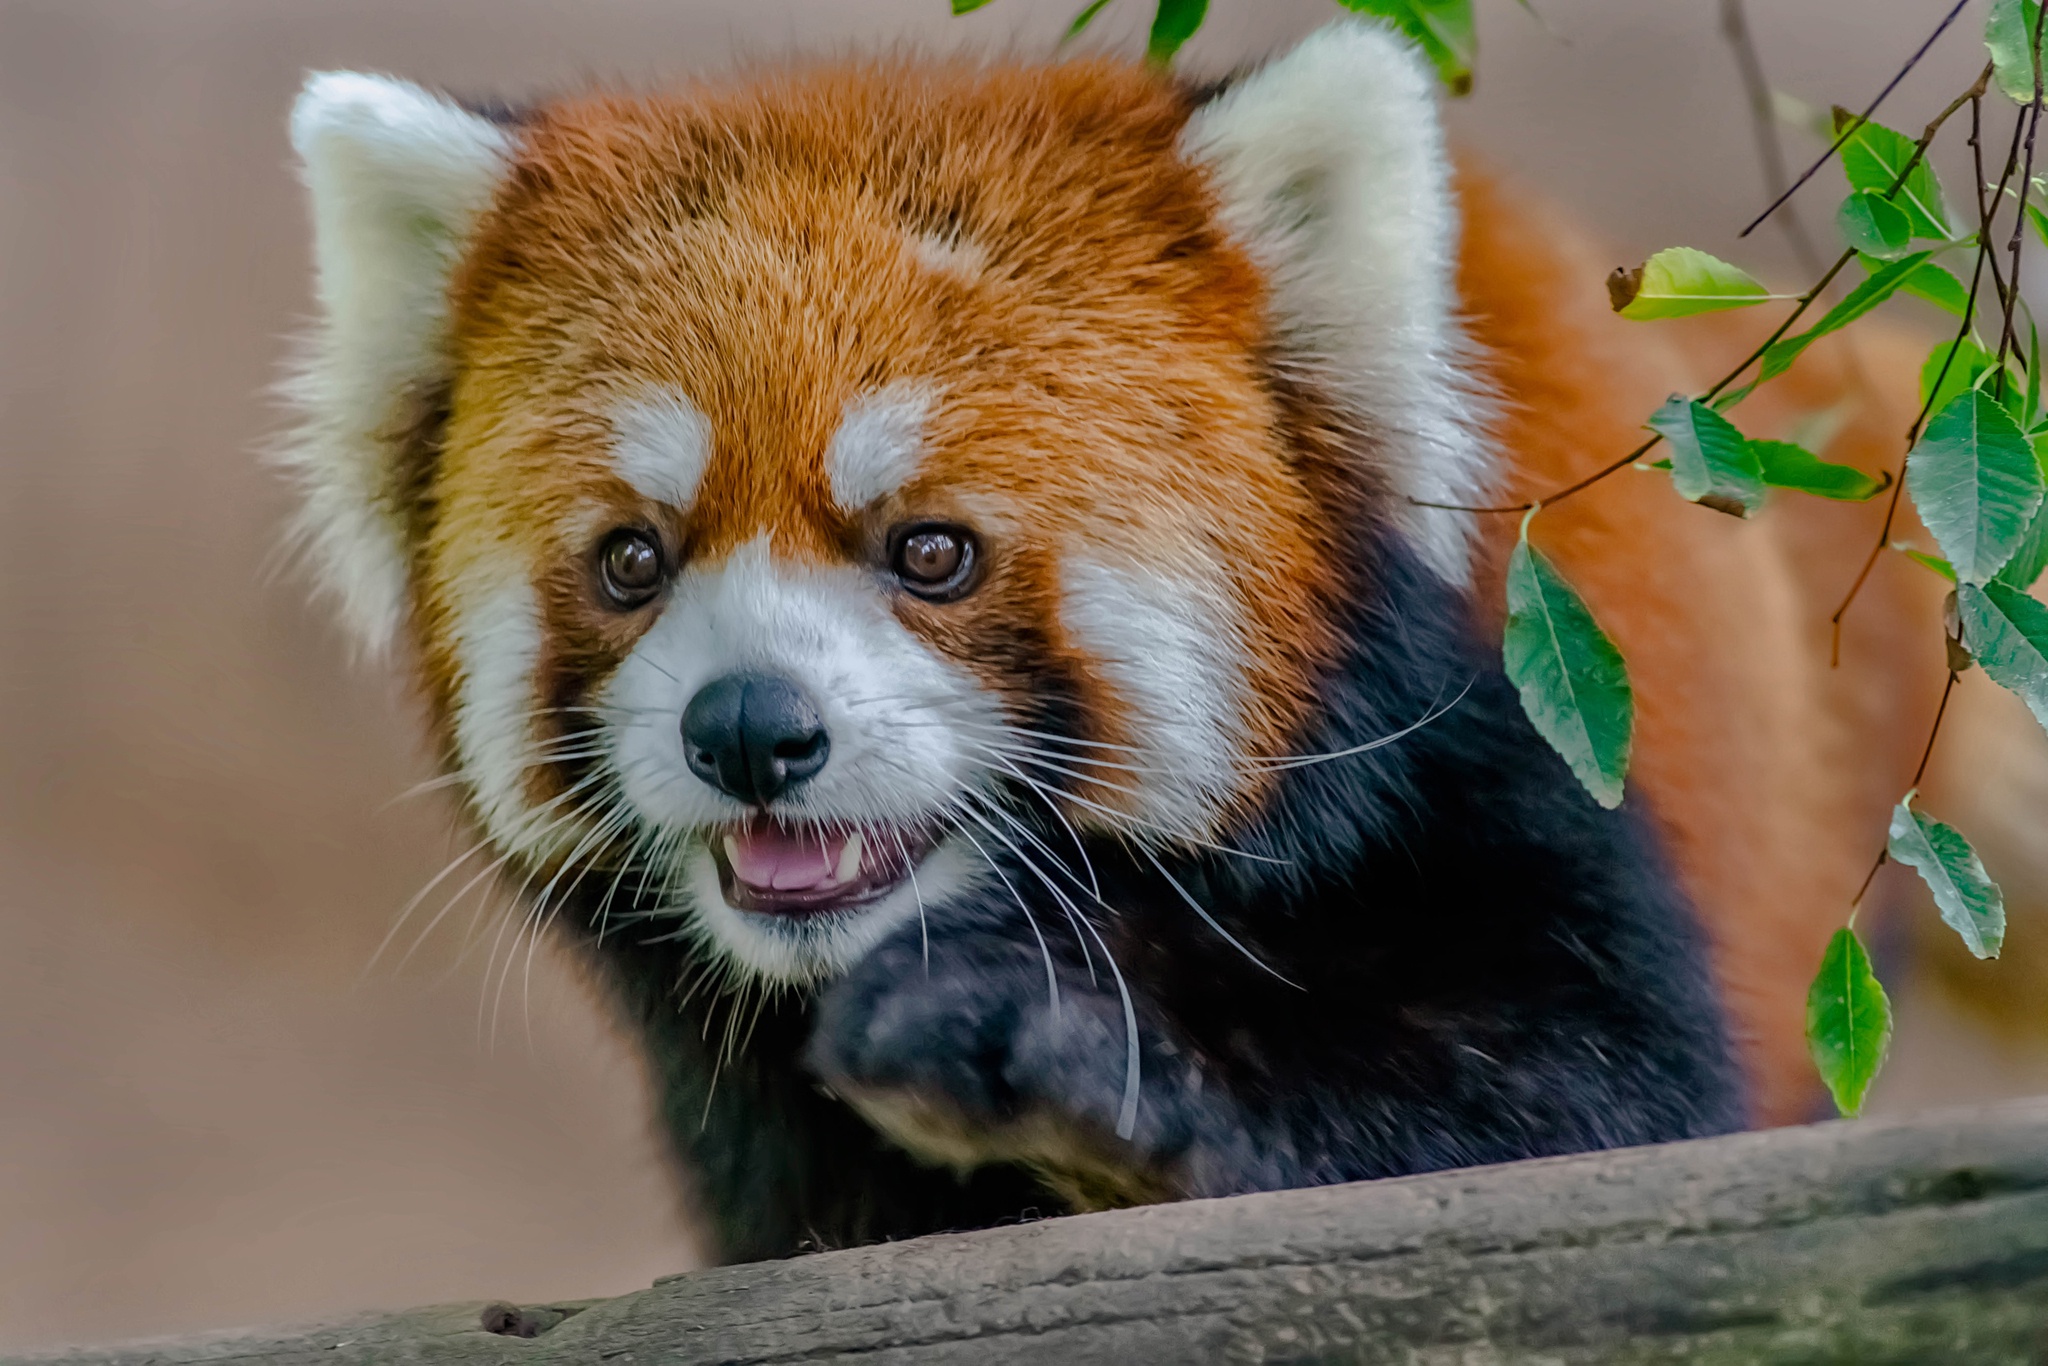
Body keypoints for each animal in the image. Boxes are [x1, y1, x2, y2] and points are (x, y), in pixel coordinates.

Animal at [280, 21, 2039, 1261]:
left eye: (933, 550)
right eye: (634, 559)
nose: (751, 730)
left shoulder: (1509, 762)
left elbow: (1601, 1100)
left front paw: (1056, 1043)